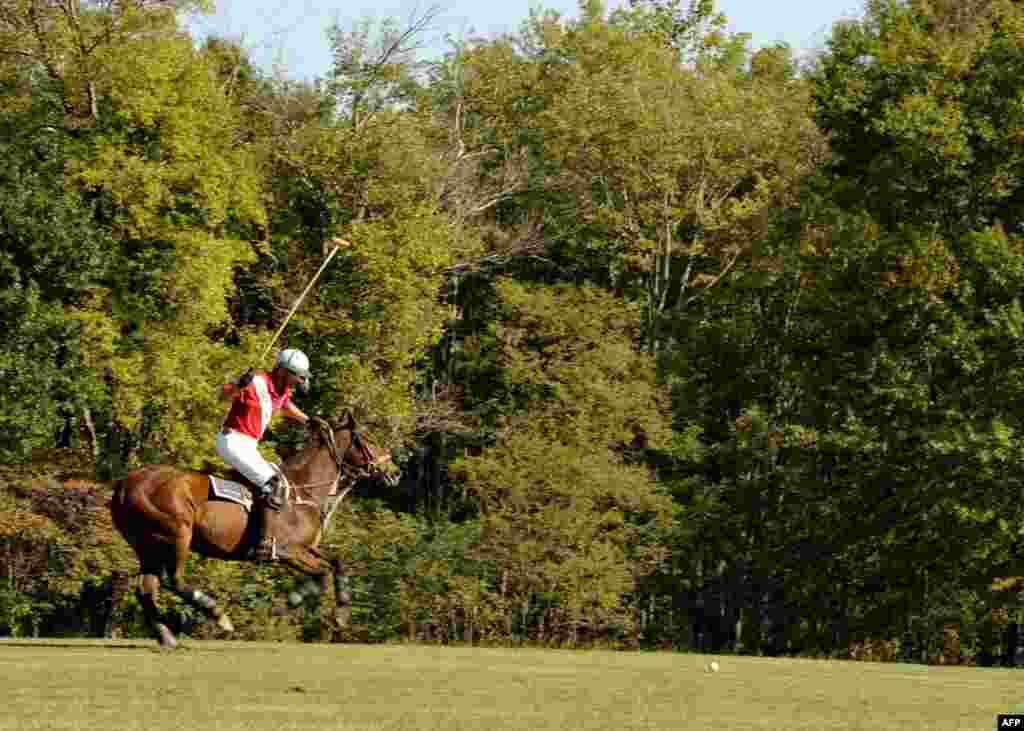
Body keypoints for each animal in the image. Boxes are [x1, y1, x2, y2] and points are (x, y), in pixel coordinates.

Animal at [110, 413, 397, 647]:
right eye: (368, 439)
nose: (395, 472)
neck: (304, 490)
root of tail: (125, 483)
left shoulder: (307, 548)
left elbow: (336, 563)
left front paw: (340, 612)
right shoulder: (287, 551)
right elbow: (322, 573)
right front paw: (289, 606)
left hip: (147, 544)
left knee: (146, 588)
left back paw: (166, 636)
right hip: (178, 533)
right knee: (172, 579)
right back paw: (217, 615)